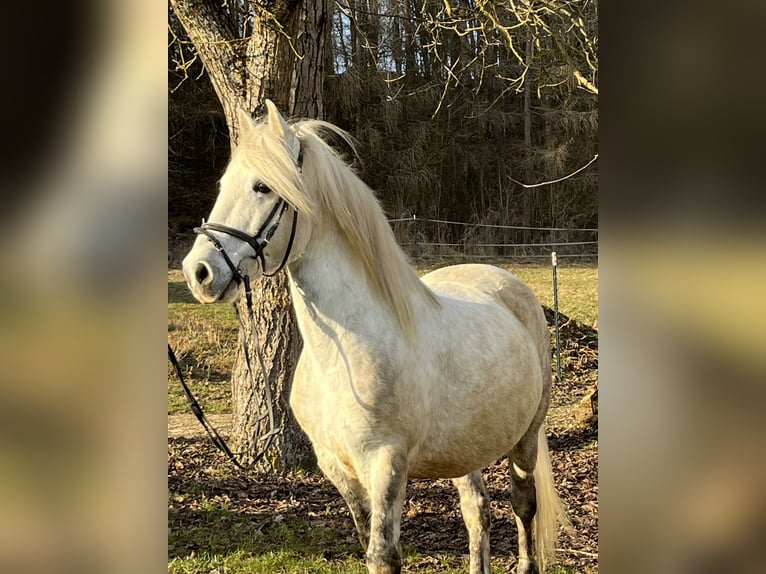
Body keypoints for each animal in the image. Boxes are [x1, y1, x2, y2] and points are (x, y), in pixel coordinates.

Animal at [182, 100, 568, 574]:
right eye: (224, 184)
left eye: (263, 187)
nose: (199, 272)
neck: (344, 354)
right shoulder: (337, 467)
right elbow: (368, 539)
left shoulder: (386, 462)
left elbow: (383, 554)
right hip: (465, 449)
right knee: (477, 511)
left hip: (526, 437)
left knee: (522, 505)